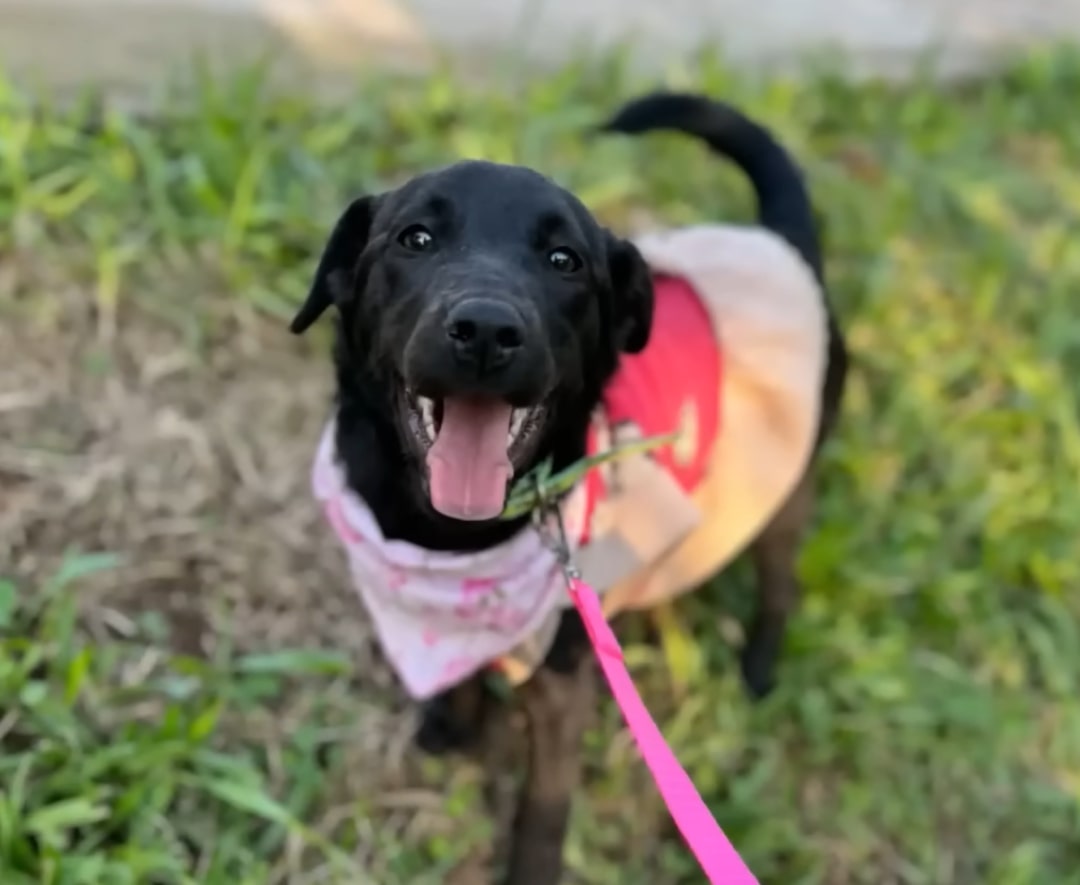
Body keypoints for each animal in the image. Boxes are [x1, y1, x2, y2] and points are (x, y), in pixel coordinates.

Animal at [291, 93, 846, 881]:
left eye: (564, 261)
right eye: (415, 238)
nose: (486, 329)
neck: (450, 545)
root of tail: (780, 244)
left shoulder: (561, 688)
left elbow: (545, 804)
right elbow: (460, 678)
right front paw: (453, 724)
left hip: (785, 484)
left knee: (778, 577)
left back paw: (759, 665)